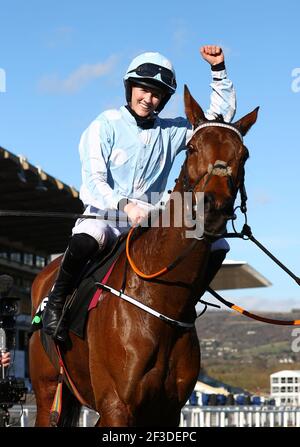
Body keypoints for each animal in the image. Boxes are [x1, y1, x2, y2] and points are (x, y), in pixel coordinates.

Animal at [28, 86, 258, 428]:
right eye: (191, 149)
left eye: (243, 155)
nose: (213, 207)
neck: (160, 301)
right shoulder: (116, 405)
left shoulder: (168, 410)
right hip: (46, 393)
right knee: (86, 240)